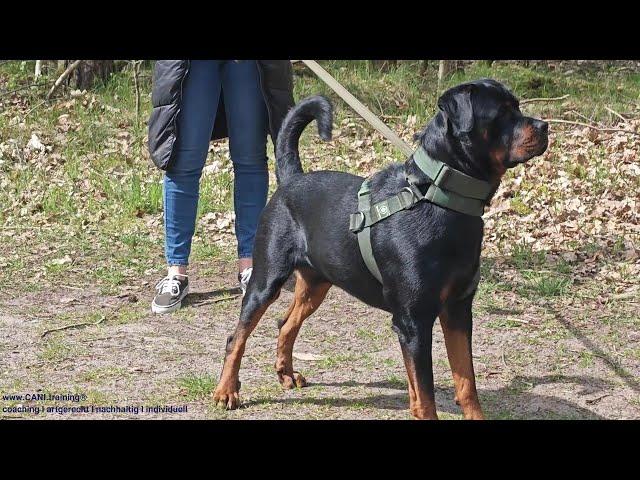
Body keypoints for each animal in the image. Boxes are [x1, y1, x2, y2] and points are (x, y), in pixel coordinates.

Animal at [212, 77, 548, 418]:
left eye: (517, 105)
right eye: (501, 112)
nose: (545, 125)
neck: (439, 197)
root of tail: (291, 179)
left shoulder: (458, 310)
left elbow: (466, 384)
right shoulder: (414, 322)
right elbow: (426, 394)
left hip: (316, 285)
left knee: (285, 323)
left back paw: (286, 373)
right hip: (265, 281)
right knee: (235, 337)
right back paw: (226, 391)